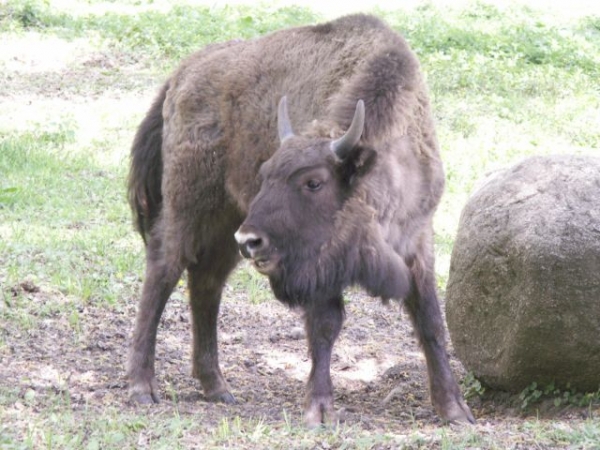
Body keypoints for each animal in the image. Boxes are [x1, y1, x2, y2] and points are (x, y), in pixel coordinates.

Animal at [126, 13, 474, 426]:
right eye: (265, 174)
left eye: (313, 182)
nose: (251, 240)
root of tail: (182, 73)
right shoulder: (319, 270)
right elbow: (325, 326)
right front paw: (319, 409)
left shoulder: (417, 243)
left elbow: (430, 322)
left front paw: (455, 409)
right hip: (190, 209)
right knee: (163, 272)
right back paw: (142, 386)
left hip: (226, 224)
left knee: (207, 284)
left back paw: (217, 387)